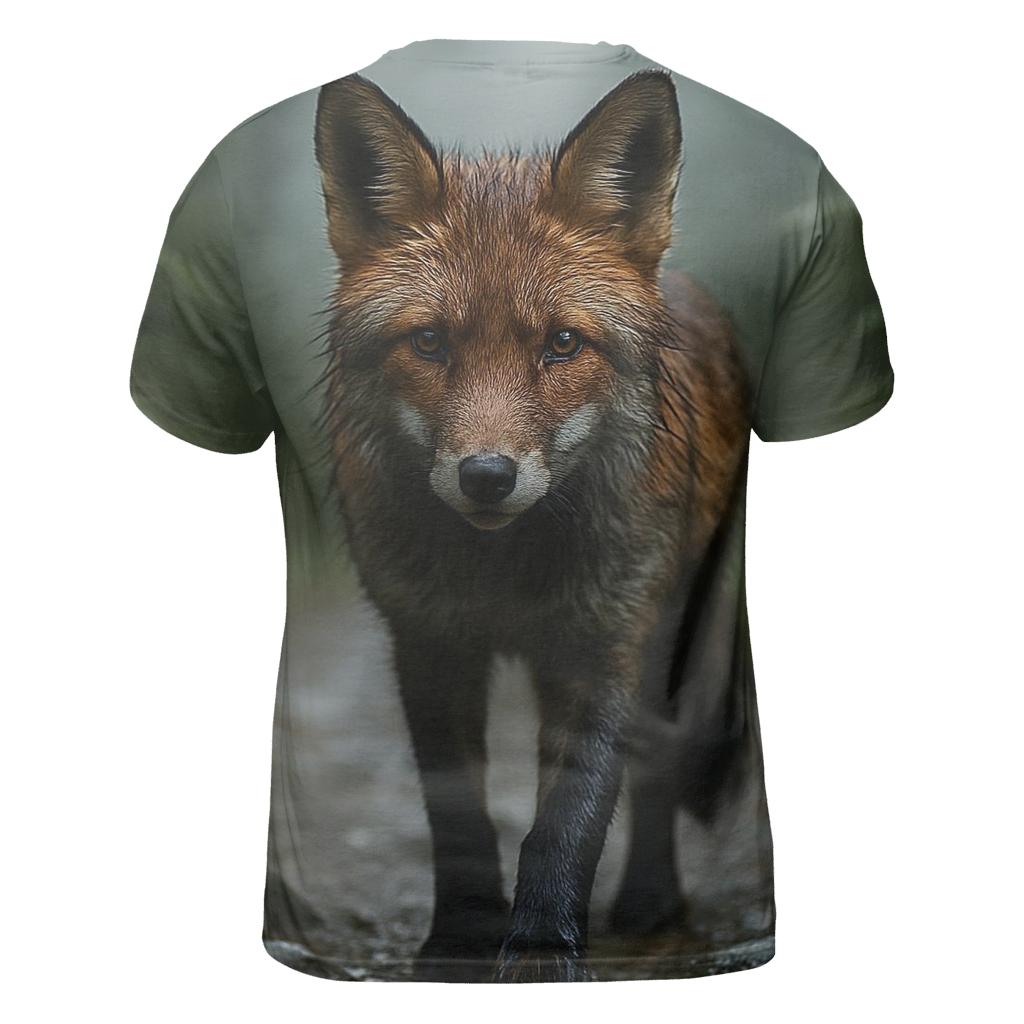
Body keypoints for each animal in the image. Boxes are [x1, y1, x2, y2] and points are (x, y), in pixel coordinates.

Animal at [313, 69, 751, 982]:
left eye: (561, 344)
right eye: (430, 342)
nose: (487, 476)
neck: (504, 573)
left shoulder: (606, 643)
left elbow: (569, 820)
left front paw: (545, 948)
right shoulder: (427, 642)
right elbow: (460, 818)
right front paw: (457, 941)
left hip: (670, 640)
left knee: (656, 778)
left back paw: (651, 907)